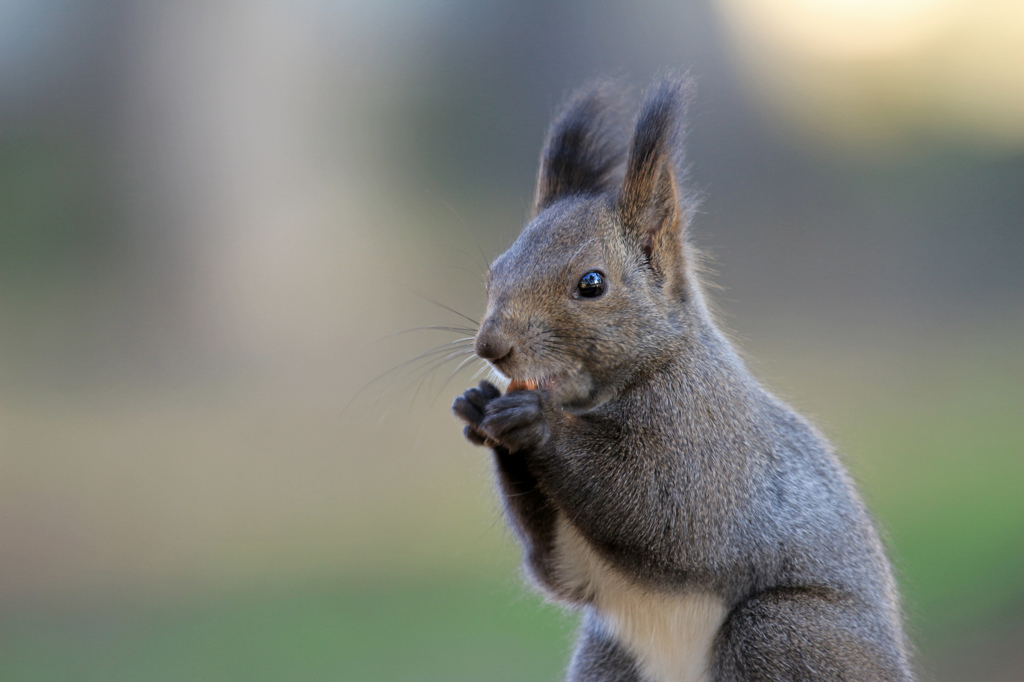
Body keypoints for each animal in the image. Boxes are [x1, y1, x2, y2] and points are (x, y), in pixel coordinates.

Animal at [452, 75, 917, 679]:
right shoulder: (578, 565)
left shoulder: (710, 440)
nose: (492, 346)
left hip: (786, 632)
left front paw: (535, 422)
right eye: (494, 273)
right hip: (609, 657)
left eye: (592, 283)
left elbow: (666, 513)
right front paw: (479, 405)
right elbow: (556, 570)